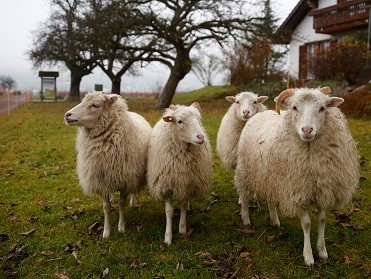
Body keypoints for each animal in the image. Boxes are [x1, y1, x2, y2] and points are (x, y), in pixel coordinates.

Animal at [64, 92, 152, 238]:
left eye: (95, 105)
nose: (67, 115)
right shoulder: (102, 181)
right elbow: (106, 207)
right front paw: (106, 231)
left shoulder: (125, 179)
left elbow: (121, 204)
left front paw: (121, 227)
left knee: (133, 189)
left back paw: (133, 202)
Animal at [147, 103, 212, 245]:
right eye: (180, 121)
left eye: (198, 119)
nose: (201, 137)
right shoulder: (166, 184)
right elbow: (169, 211)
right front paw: (168, 237)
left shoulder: (186, 182)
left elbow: (182, 204)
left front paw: (182, 229)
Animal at [235, 87, 360, 266]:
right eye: (294, 108)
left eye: (322, 108)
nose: (307, 130)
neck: (310, 155)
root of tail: (260, 114)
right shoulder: (297, 191)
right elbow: (306, 224)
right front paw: (308, 257)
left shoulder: (324, 190)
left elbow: (321, 221)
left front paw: (322, 251)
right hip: (246, 170)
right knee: (244, 194)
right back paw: (246, 219)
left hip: (271, 177)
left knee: (271, 198)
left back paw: (274, 220)